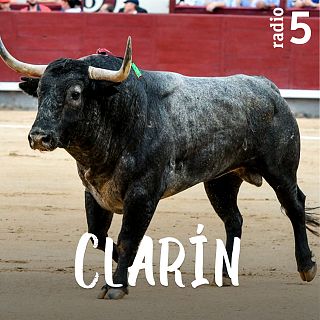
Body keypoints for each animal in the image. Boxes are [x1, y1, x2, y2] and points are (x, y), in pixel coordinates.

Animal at [0, 37, 318, 300]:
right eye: (41, 92)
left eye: (75, 94)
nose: (39, 137)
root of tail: (268, 88)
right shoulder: (94, 192)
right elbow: (98, 236)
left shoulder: (143, 192)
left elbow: (128, 238)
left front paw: (116, 286)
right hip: (220, 180)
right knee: (234, 219)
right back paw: (225, 275)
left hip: (280, 169)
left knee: (294, 206)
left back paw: (306, 266)